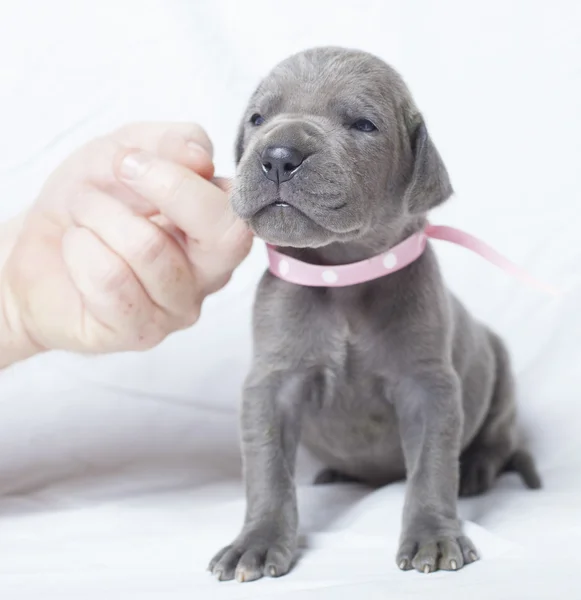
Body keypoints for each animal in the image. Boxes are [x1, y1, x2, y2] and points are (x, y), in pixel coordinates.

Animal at [208, 45, 540, 580]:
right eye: (258, 118)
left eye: (363, 124)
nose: (278, 155)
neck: (343, 274)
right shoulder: (271, 385)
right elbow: (267, 469)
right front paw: (255, 543)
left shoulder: (427, 385)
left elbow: (431, 467)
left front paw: (433, 537)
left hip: (501, 369)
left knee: (499, 435)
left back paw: (476, 469)